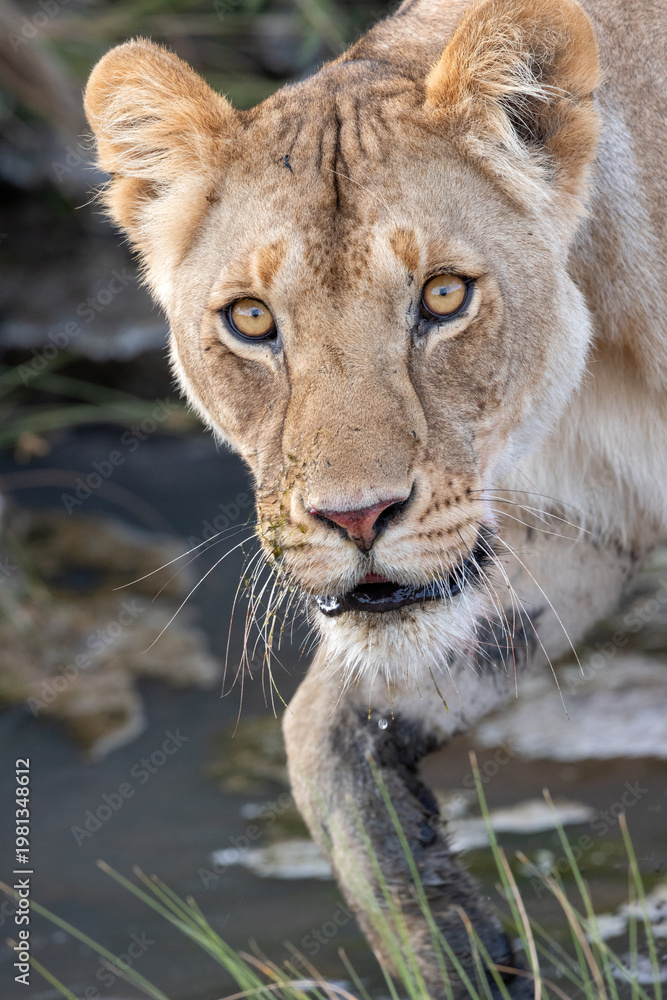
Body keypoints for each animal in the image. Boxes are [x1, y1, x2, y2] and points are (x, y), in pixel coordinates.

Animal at [84, 0, 667, 995]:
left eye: (443, 295)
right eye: (250, 319)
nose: (354, 517)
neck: (602, 370)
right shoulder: (577, 522)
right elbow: (320, 734)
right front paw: (456, 943)